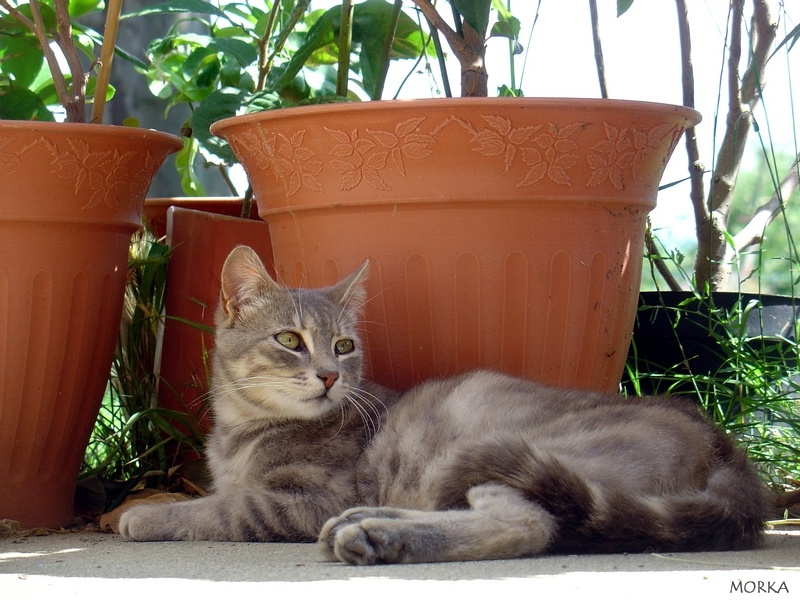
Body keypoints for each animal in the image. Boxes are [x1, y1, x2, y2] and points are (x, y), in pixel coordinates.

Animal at [117, 244, 768, 564]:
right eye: (289, 340)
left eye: (344, 346)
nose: (329, 375)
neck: (242, 434)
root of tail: (728, 452)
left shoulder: (301, 500)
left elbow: (219, 510)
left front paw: (146, 514)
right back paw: (370, 523)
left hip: (508, 449)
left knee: (529, 522)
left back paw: (380, 536)